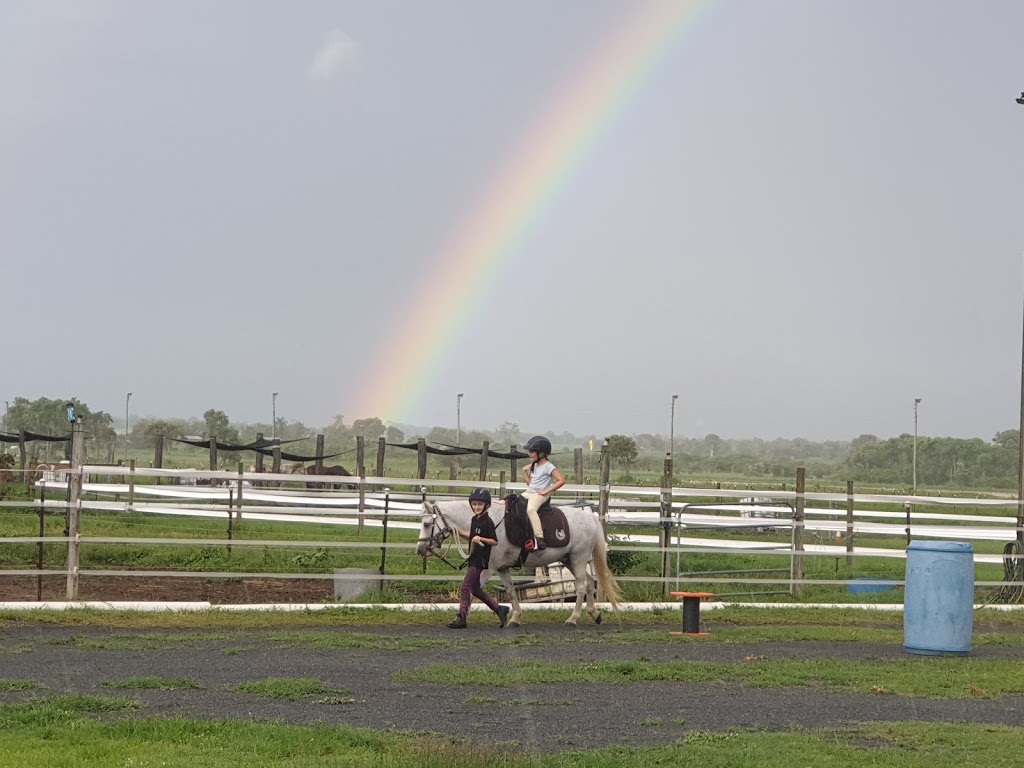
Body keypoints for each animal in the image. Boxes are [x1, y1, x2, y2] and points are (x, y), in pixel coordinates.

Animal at [417, 495, 622, 626]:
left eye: (427, 524)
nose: (420, 550)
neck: (488, 521)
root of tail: (590, 517)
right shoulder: (502, 568)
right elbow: (510, 591)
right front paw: (514, 618)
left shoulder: (488, 568)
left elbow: (471, 589)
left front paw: (460, 618)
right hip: (568, 560)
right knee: (589, 582)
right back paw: (594, 614)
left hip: (578, 559)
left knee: (581, 586)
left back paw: (573, 619)